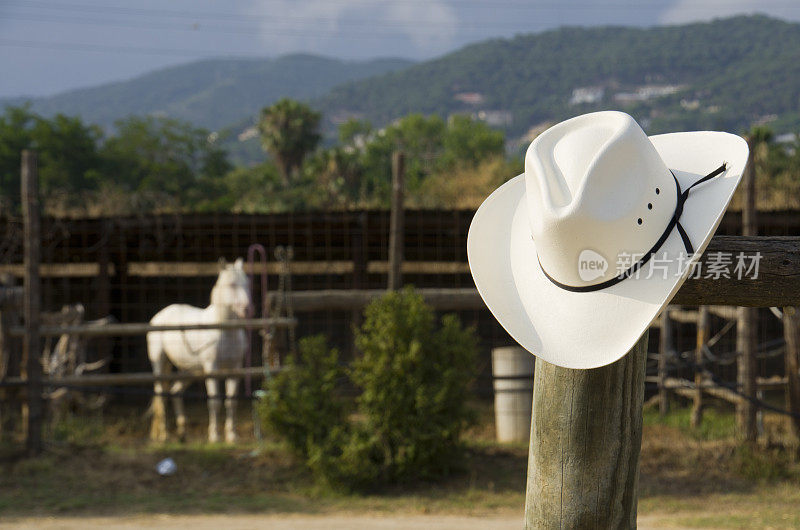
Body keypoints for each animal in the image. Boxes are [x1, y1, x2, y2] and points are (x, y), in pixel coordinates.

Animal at [147, 256, 252, 442]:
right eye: (231, 284)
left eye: (247, 283)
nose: (247, 309)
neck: (224, 331)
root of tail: (159, 316)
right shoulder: (211, 368)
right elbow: (214, 401)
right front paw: (214, 437)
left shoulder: (235, 369)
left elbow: (231, 401)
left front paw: (232, 436)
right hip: (159, 363)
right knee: (161, 394)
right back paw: (164, 435)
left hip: (189, 370)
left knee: (175, 392)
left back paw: (182, 432)